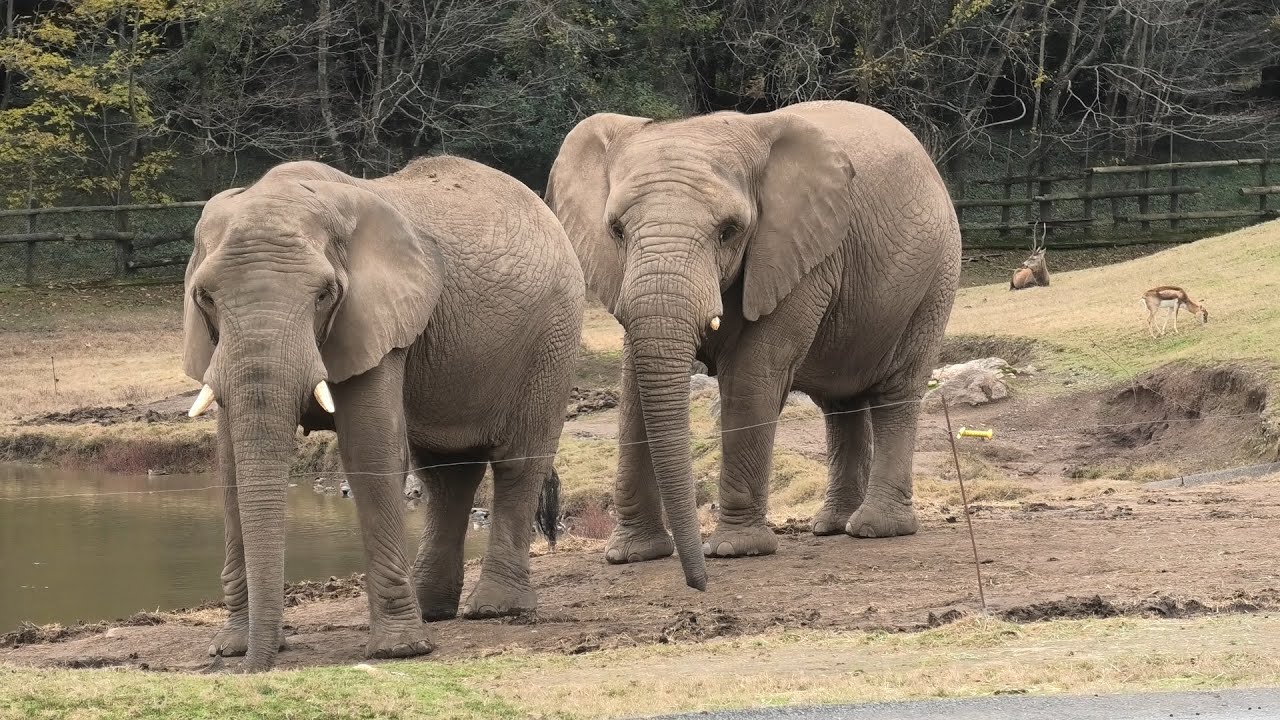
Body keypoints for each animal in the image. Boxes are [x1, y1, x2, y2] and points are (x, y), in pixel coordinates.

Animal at [182, 156, 585, 671]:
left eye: (324, 295)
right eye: (205, 298)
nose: (255, 670)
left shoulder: (377, 321)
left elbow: (370, 452)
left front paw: (400, 650)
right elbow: (230, 465)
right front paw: (228, 648)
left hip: (553, 336)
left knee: (518, 463)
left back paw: (495, 609)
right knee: (446, 474)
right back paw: (433, 609)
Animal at [545, 100, 961, 590]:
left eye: (729, 231)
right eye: (617, 230)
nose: (699, 584)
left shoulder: (796, 254)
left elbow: (752, 375)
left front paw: (734, 550)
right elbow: (633, 390)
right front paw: (630, 556)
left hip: (934, 278)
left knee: (897, 391)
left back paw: (875, 529)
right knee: (841, 404)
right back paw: (831, 526)